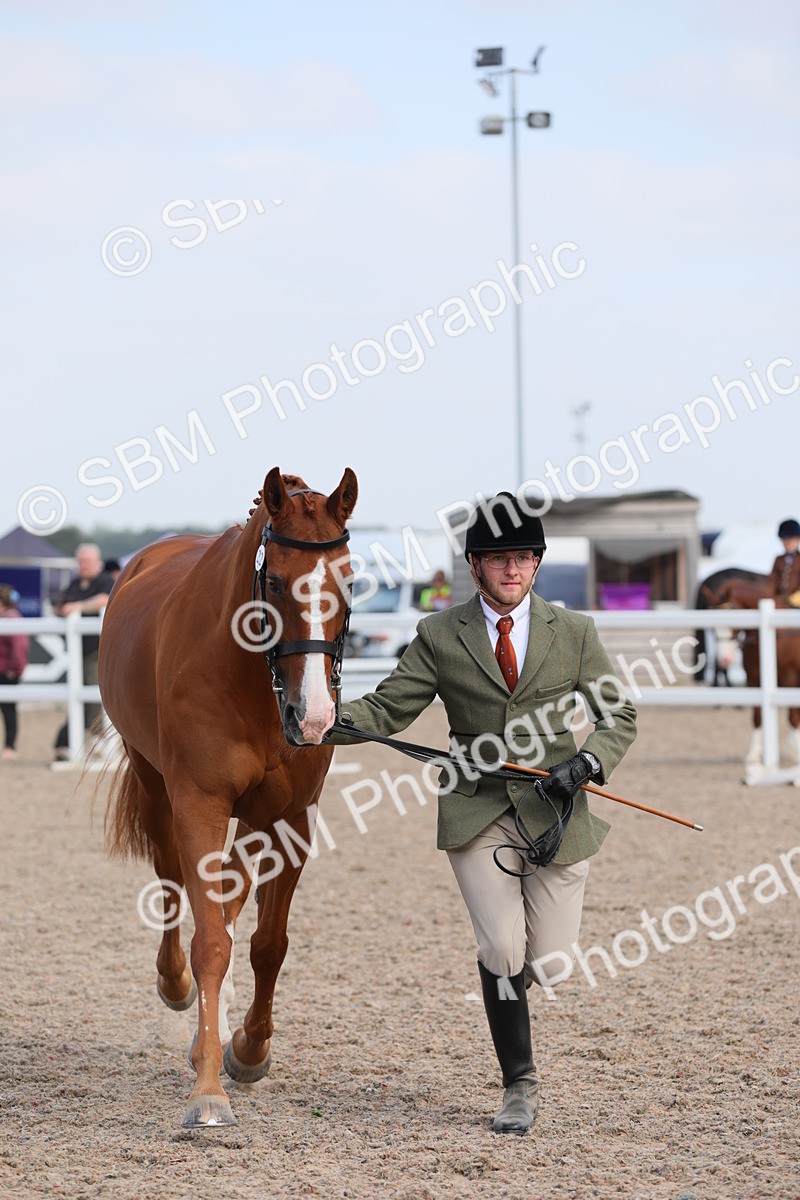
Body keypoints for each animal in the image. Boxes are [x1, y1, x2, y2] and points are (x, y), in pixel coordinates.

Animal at [98, 467, 358, 1128]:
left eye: (348, 579)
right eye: (277, 581)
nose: (314, 719)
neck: (253, 682)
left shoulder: (291, 818)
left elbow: (268, 944)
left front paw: (248, 1049)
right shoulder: (200, 804)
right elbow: (211, 942)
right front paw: (209, 1092)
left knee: (232, 898)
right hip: (154, 786)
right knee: (173, 883)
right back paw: (175, 986)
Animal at [700, 574, 800, 773]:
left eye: (733, 618)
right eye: (712, 627)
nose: (725, 660)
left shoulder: (791, 678)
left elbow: (793, 717)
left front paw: (797, 754)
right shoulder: (755, 680)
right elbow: (757, 717)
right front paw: (753, 754)